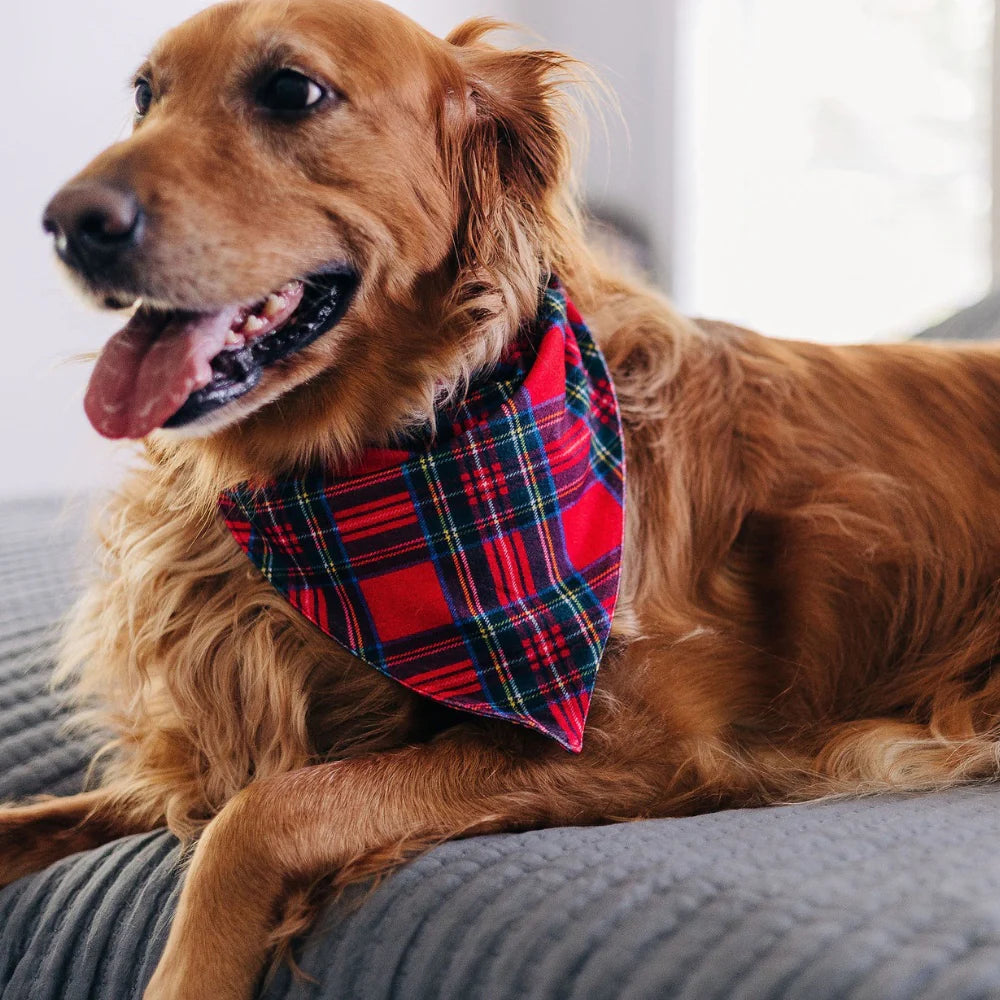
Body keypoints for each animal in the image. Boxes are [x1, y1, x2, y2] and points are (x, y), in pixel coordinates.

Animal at [5, 0, 1000, 996]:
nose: (64, 223)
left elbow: (259, 817)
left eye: (291, 90)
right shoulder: (209, 754)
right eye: (146, 95)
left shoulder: (642, 741)